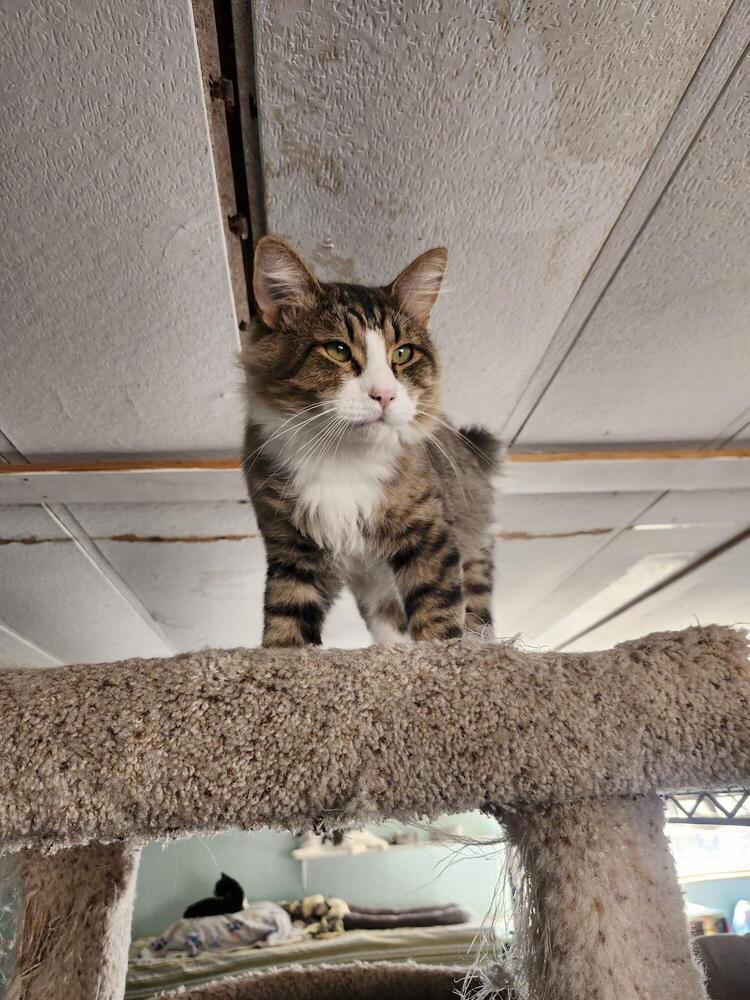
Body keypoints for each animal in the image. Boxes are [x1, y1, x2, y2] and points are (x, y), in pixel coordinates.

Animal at [241, 239, 500, 652]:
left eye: (402, 354)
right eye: (338, 350)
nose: (384, 395)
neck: (342, 460)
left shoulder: (431, 534)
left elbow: (438, 612)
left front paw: (441, 654)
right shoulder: (293, 551)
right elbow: (286, 619)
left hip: (473, 547)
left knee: (477, 612)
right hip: (372, 585)